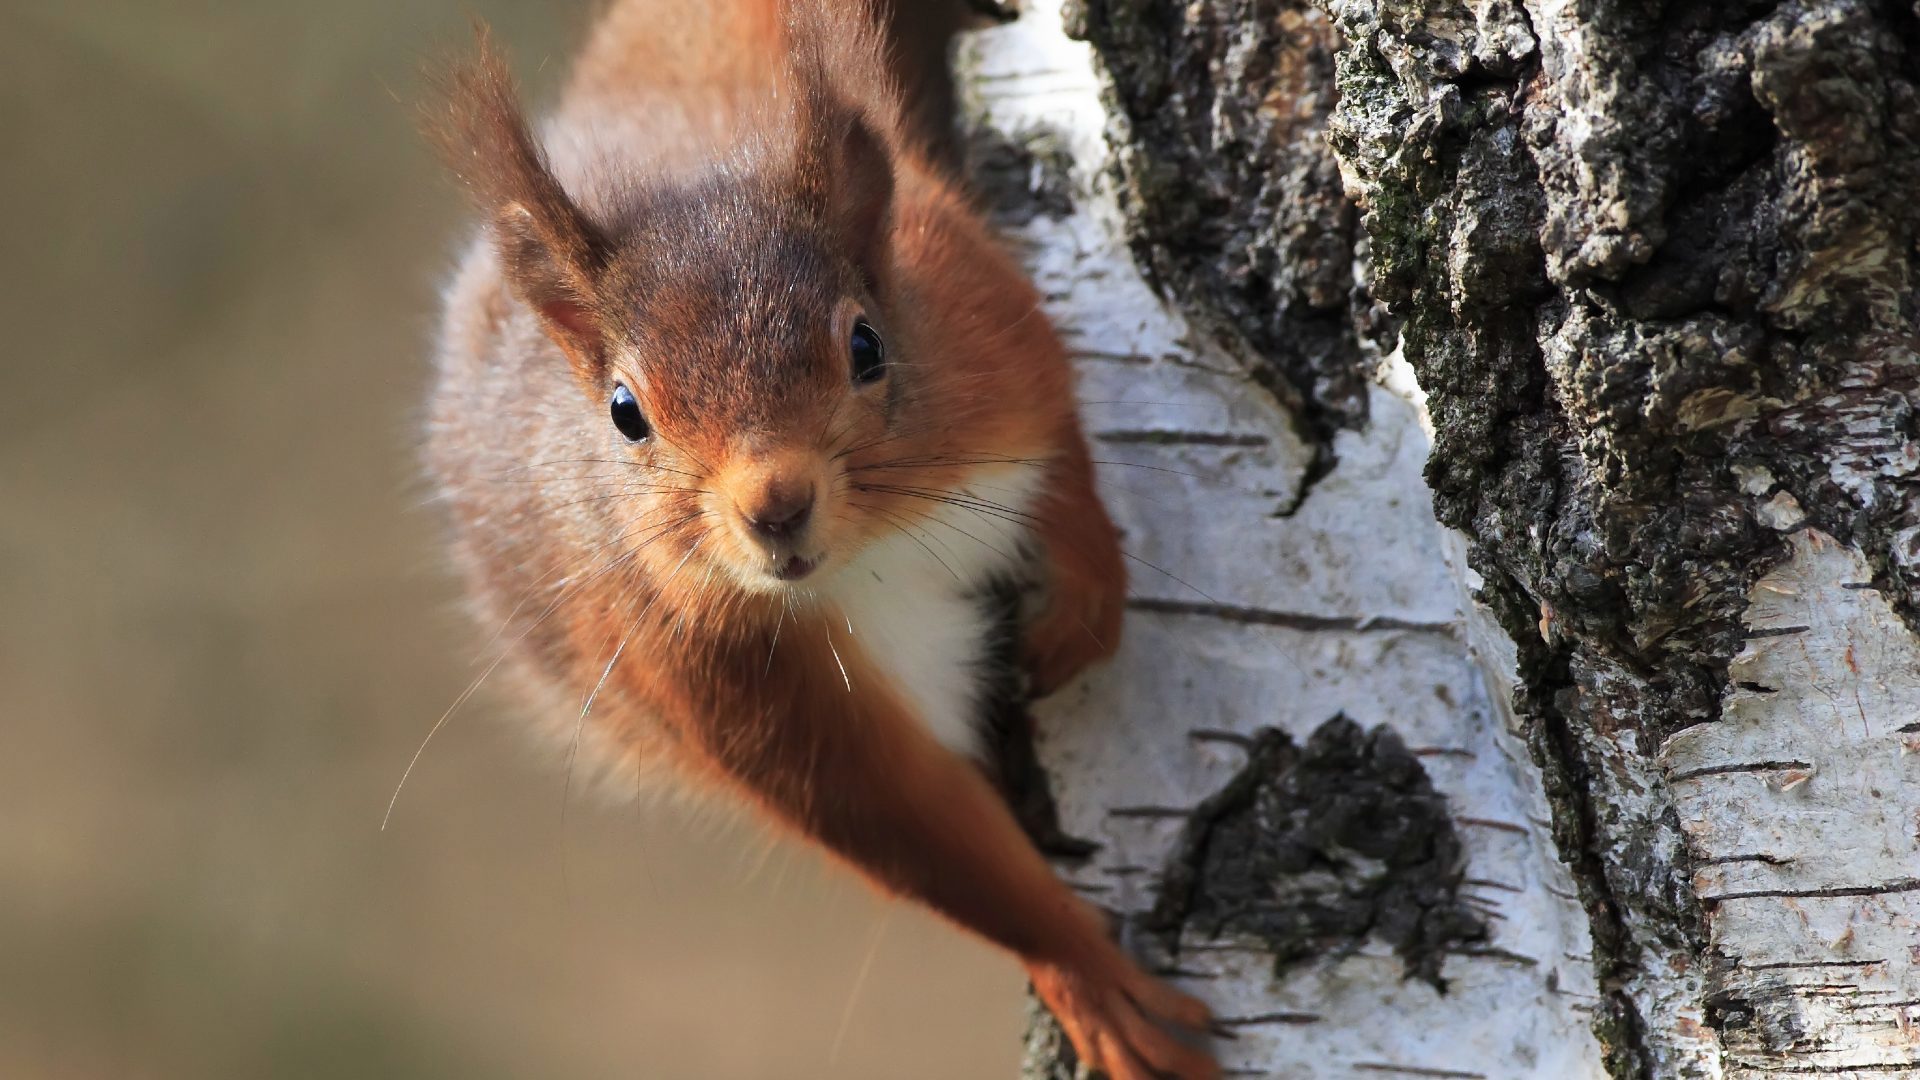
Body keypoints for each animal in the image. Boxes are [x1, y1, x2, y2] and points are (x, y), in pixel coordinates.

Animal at [423, 2, 1217, 1076]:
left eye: (867, 346)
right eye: (626, 413)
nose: (775, 506)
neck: (872, 555)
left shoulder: (995, 343)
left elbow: (1065, 463)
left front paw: (1082, 606)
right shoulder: (720, 676)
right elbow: (913, 830)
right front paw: (1085, 975)